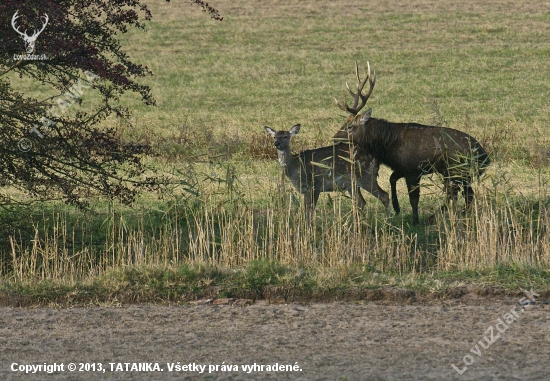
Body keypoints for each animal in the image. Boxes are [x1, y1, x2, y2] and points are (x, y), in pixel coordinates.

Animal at [332, 60, 492, 224]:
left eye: (350, 126)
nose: (335, 137)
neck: (389, 146)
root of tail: (485, 157)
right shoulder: (401, 168)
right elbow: (392, 179)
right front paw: (397, 208)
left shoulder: (413, 170)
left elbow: (413, 198)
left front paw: (415, 221)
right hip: (461, 174)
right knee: (467, 194)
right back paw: (459, 214)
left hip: (456, 170)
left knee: (455, 194)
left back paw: (433, 217)